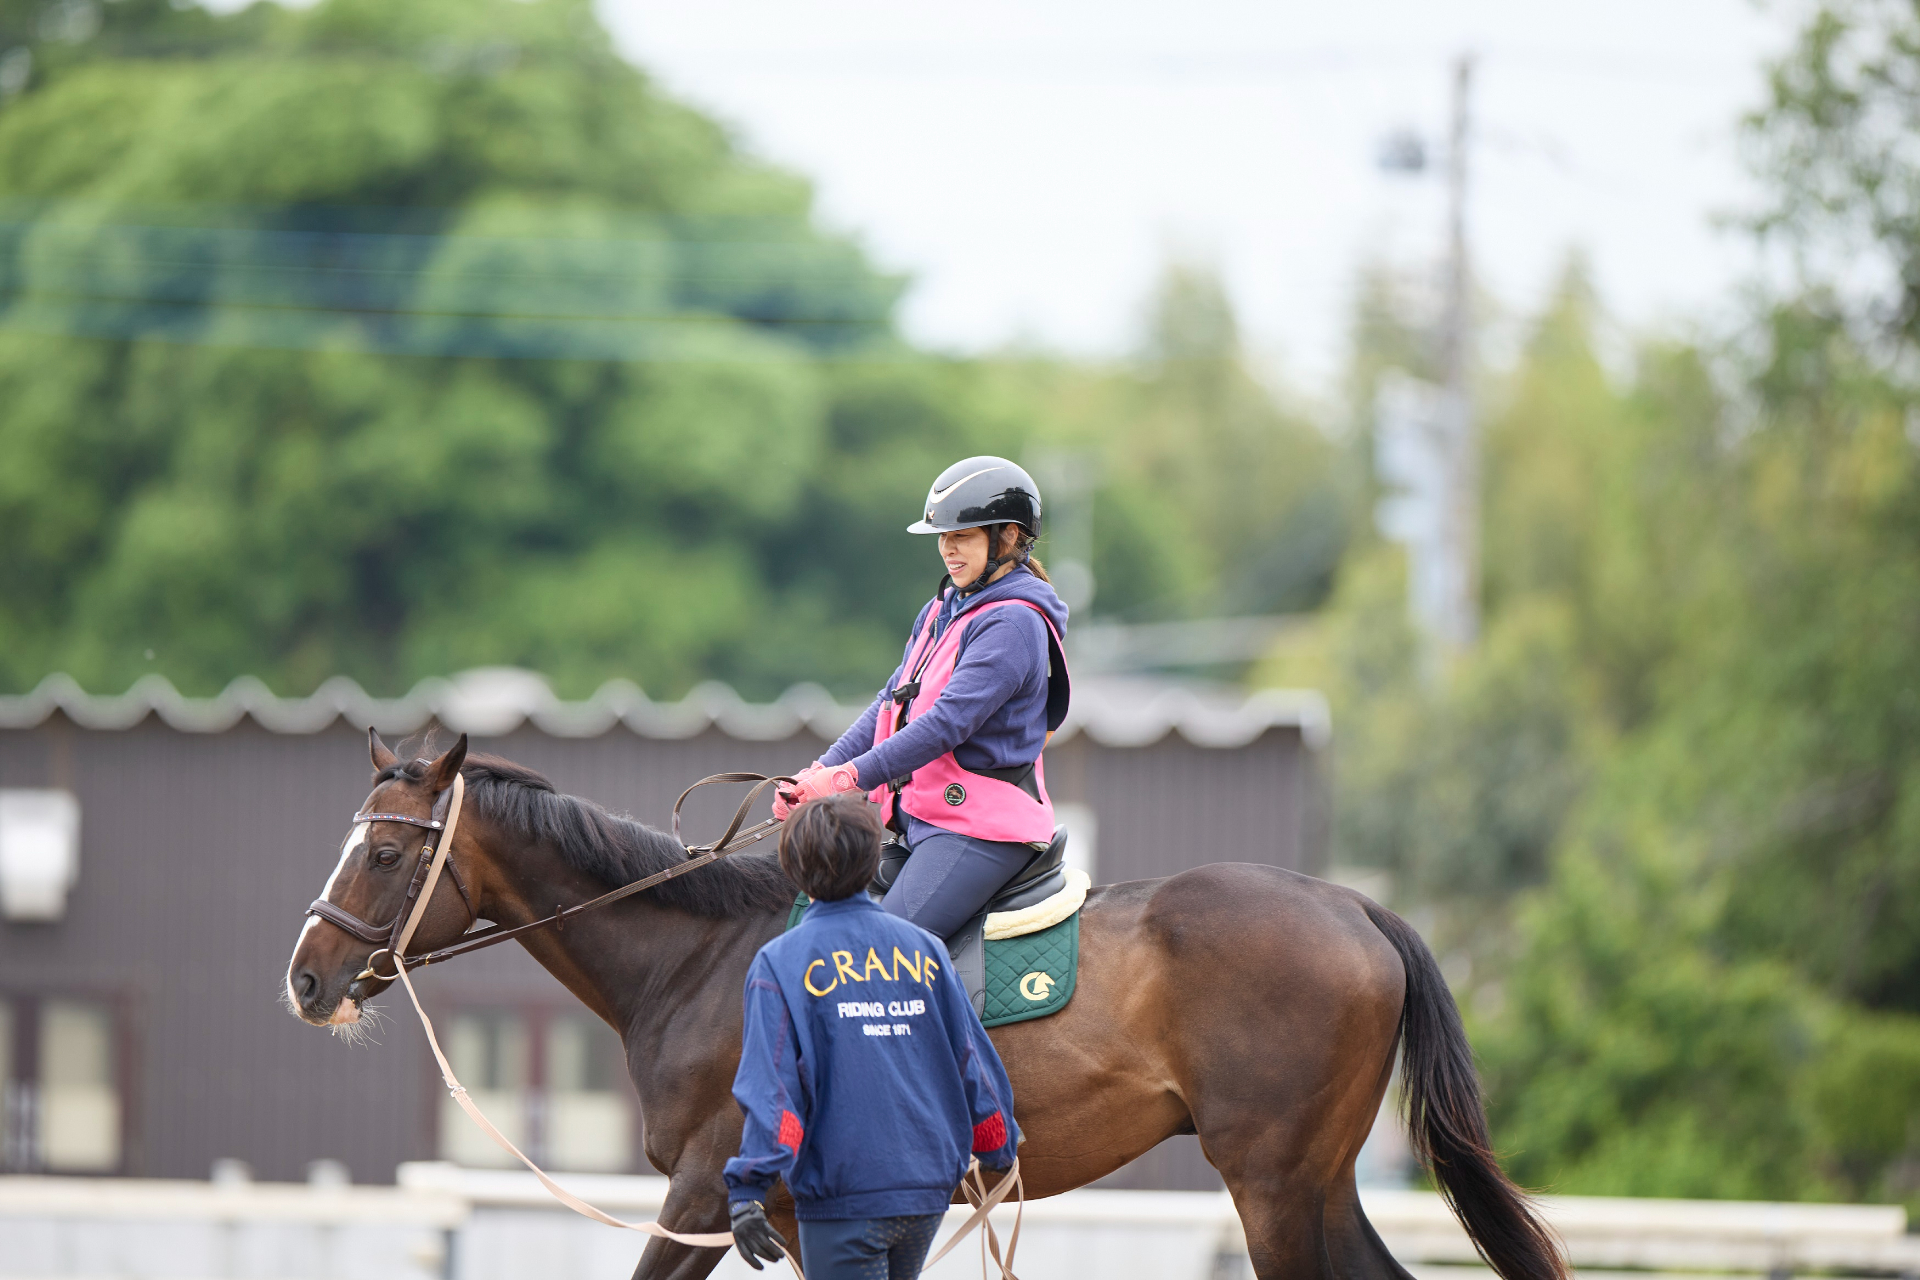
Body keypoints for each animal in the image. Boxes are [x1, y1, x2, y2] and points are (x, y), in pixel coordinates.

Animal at [284, 732, 1563, 1280]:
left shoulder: (703, 1189)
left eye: (388, 853)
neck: (699, 957)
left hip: (1278, 1186)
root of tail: (1355, 905)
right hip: (1312, 1183)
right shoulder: (805, 1213)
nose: (304, 975)